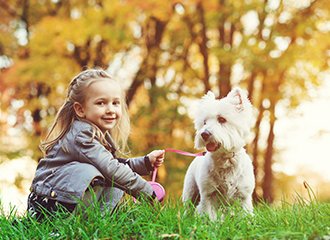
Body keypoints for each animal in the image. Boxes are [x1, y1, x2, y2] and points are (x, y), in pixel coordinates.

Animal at [183, 87, 255, 220]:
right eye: (204, 122)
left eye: (222, 119)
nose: (204, 134)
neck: (225, 159)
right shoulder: (208, 194)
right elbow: (208, 214)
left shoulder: (244, 196)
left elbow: (244, 214)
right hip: (190, 190)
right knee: (188, 206)